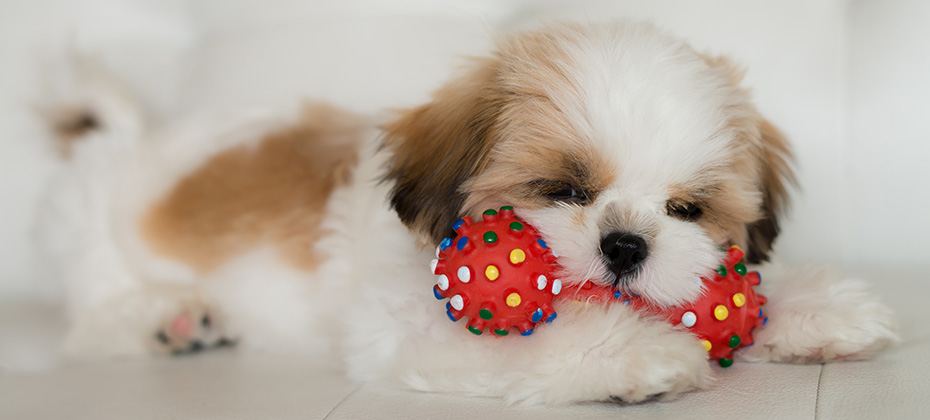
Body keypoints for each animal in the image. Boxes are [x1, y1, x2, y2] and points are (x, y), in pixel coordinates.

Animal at [40, 21, 896, 406]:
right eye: (564, 191)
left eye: (685, 209)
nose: (625, 245)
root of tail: (132, 140)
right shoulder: (405, 325)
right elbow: (533, 340)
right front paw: (635, 354)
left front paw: (816, 310)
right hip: (96, 243)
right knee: (91, 319)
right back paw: (170, 319)